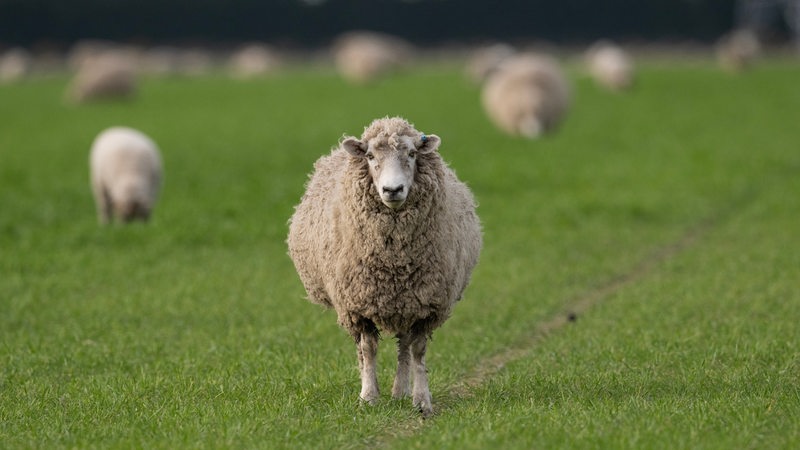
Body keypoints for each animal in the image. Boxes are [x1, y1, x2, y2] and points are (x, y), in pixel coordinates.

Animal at [288, 117, 482, 418]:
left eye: (412, 154)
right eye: (370, 156)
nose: (392, 190)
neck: (393, 260)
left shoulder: (426, 304)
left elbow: (417, 351)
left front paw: (422, 401)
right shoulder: (357, 305)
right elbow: (368, 350)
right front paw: (368, 397)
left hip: (405, 301)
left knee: (403, 347)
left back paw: (400, 391)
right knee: (364, 350)